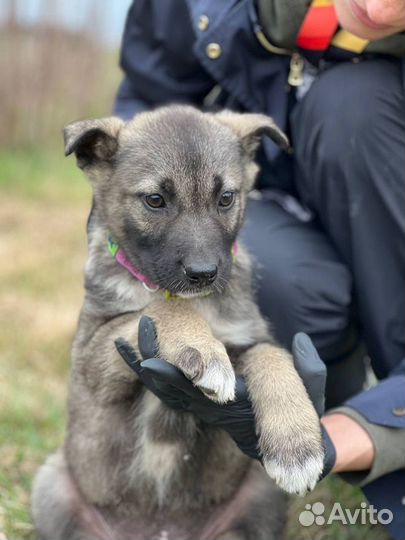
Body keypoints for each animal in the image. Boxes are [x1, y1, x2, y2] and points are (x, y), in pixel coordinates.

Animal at [31, 106, 324, 540]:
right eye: (155, 200)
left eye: (226, 198)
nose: (204, 274)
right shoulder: (89, 355)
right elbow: (159, 308)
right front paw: (200, 348)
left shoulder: (248, 336)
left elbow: (274, 357)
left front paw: (297, 444)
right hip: (51, 485)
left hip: (259, 496)